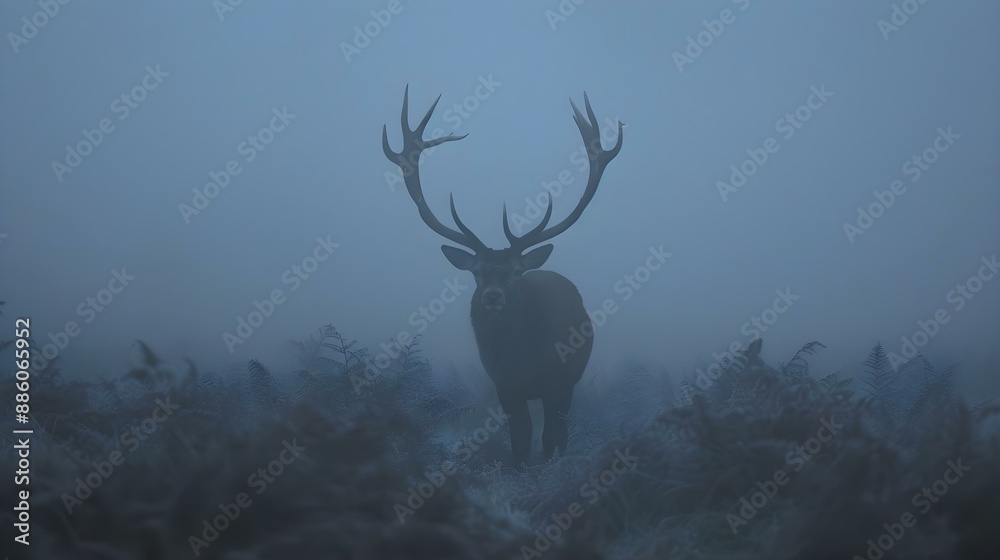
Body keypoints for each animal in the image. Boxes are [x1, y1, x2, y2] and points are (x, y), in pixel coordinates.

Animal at [382, 86, 623, 466]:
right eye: (477, 272)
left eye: (516, 272)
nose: (492, 295)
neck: (523, 357)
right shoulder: (502, 384)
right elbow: (520, 440)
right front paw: (522, 466)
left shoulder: (558, 380)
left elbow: (552, 437)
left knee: (560, 431)